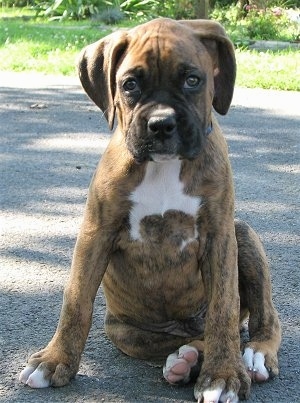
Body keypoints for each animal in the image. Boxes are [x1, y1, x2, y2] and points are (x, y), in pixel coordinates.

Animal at [20, 17, 282, 402]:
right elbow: (75, 300)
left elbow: (223, 308)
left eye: (192, 80)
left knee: (256, 320)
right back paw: (187, 360)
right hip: (126, 332)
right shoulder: (95, 233)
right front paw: (54, 361)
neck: (164, 167)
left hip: (243, 234)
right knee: (189, 339)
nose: (161, 124)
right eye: (129, 85)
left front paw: (222, 375)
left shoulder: (220, 238)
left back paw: (254, 355)